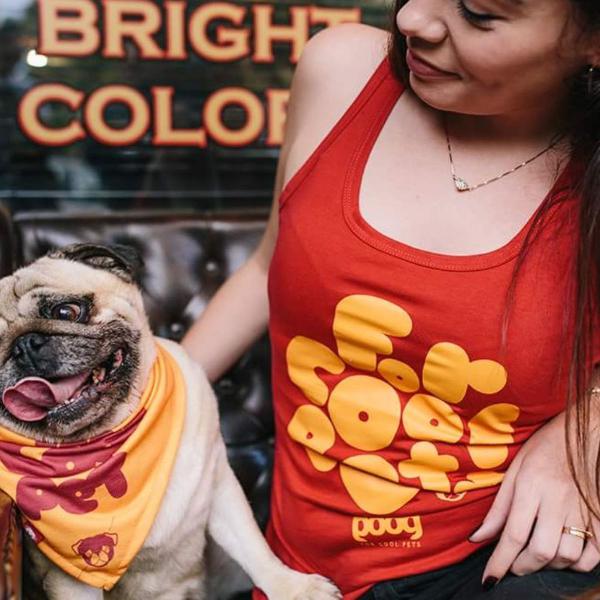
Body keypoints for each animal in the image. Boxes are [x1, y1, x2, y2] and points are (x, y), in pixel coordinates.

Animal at [0, 244, 340, 600]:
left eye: (66, 311)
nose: (23, 346)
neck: (113, 440)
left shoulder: (220, 487)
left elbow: (252, 547)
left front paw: (294, 587)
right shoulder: (70, 579)